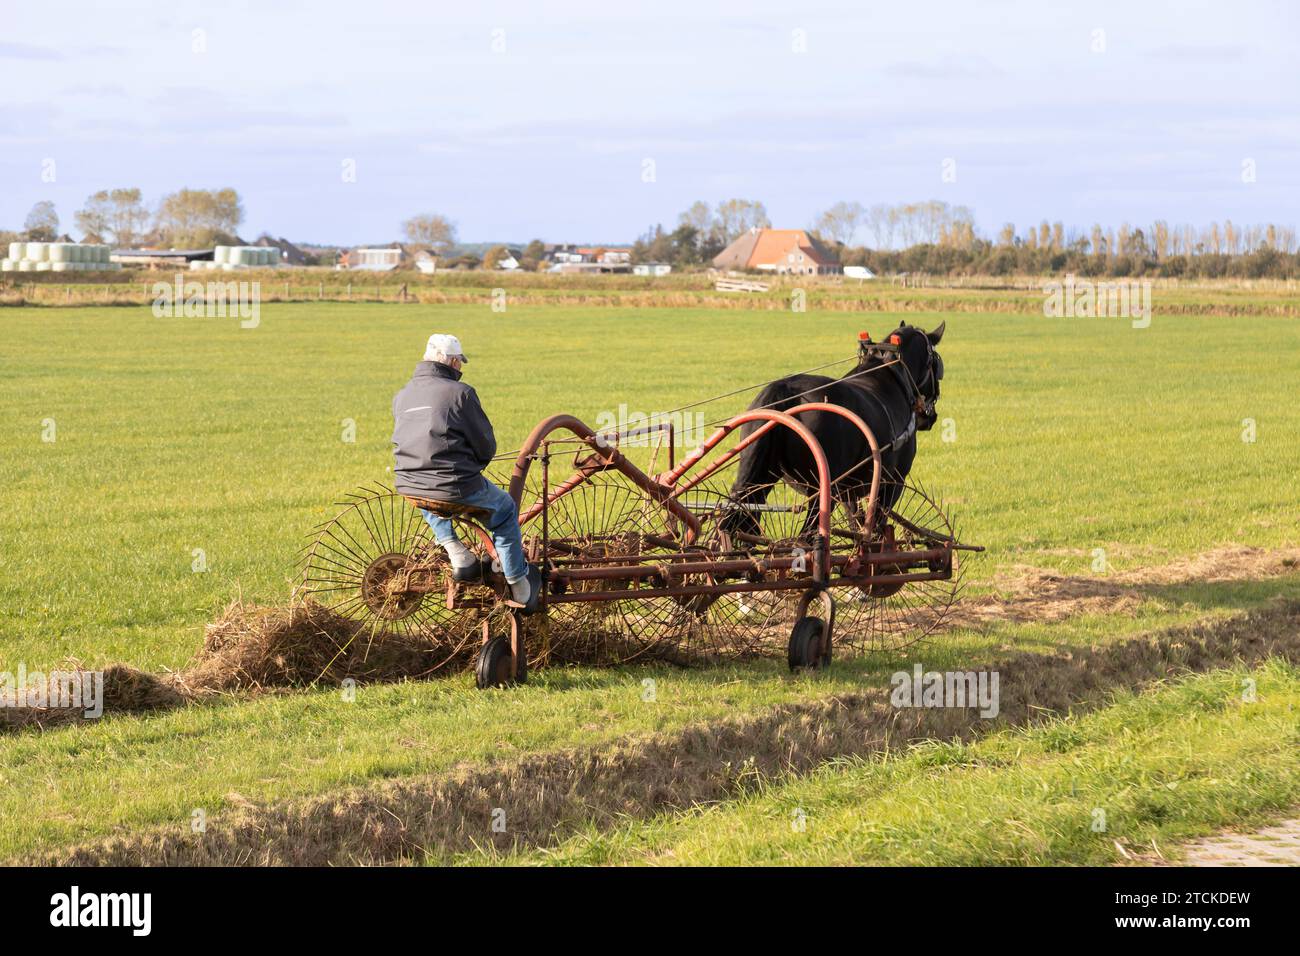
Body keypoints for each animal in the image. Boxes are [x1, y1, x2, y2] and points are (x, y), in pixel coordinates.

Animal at [722, 323, 946, 538]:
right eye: (936, 364)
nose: (930, 417)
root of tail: (784, 390)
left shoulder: (847, 491)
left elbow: (857, 524)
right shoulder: (893, 483)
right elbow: (876, 529)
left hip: (759, 478)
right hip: (820, 491)